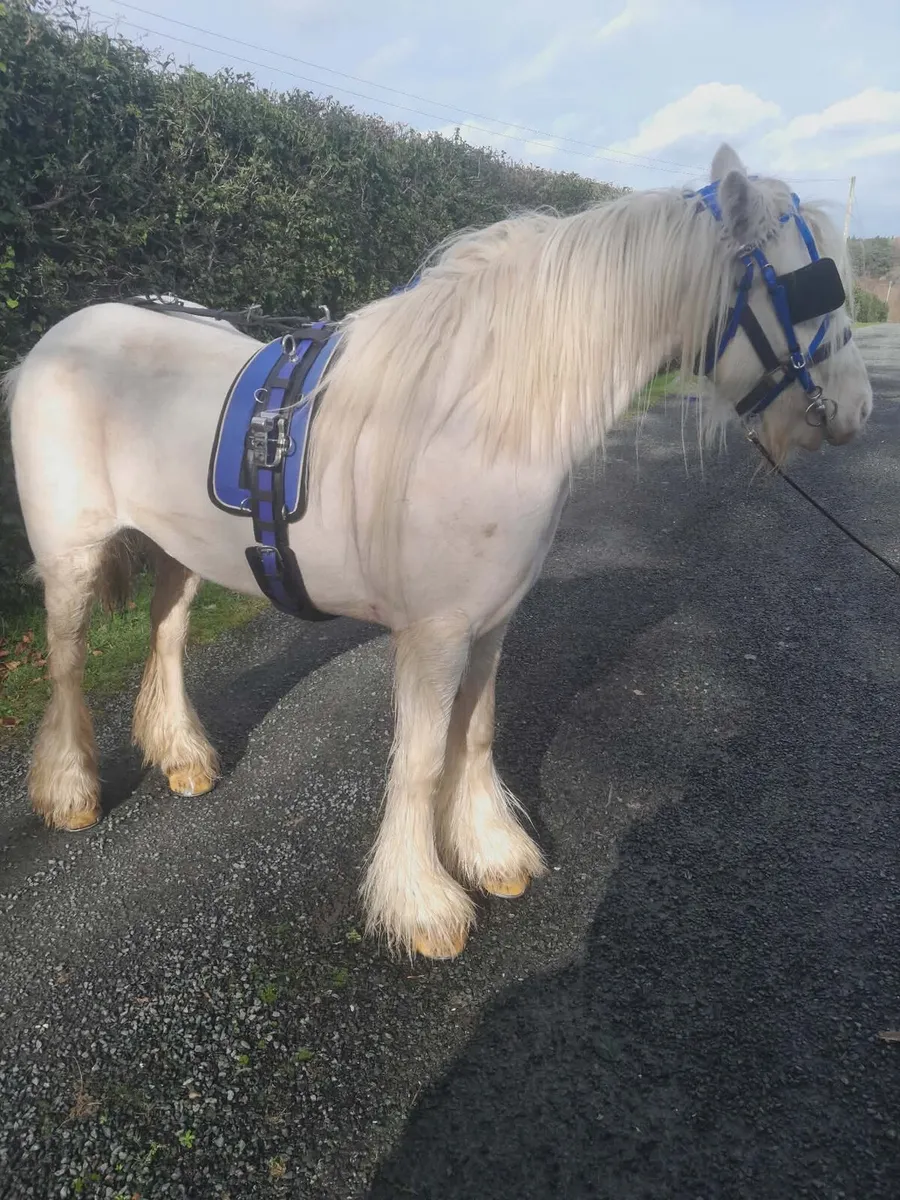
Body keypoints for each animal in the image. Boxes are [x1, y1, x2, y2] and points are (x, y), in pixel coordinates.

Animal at [3, 143, 873, 959]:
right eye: (813, 287)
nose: (858, 409)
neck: (483, 417)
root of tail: (61, 336)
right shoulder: (434, 636)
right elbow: (420, 761)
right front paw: (420, 902)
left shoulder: (489, 624)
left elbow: (475, 733)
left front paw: (490, 851)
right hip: (74, 556)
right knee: (69, 660)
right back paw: (69, 790)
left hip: (180, 548)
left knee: (167, 635)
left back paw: (181, 753)